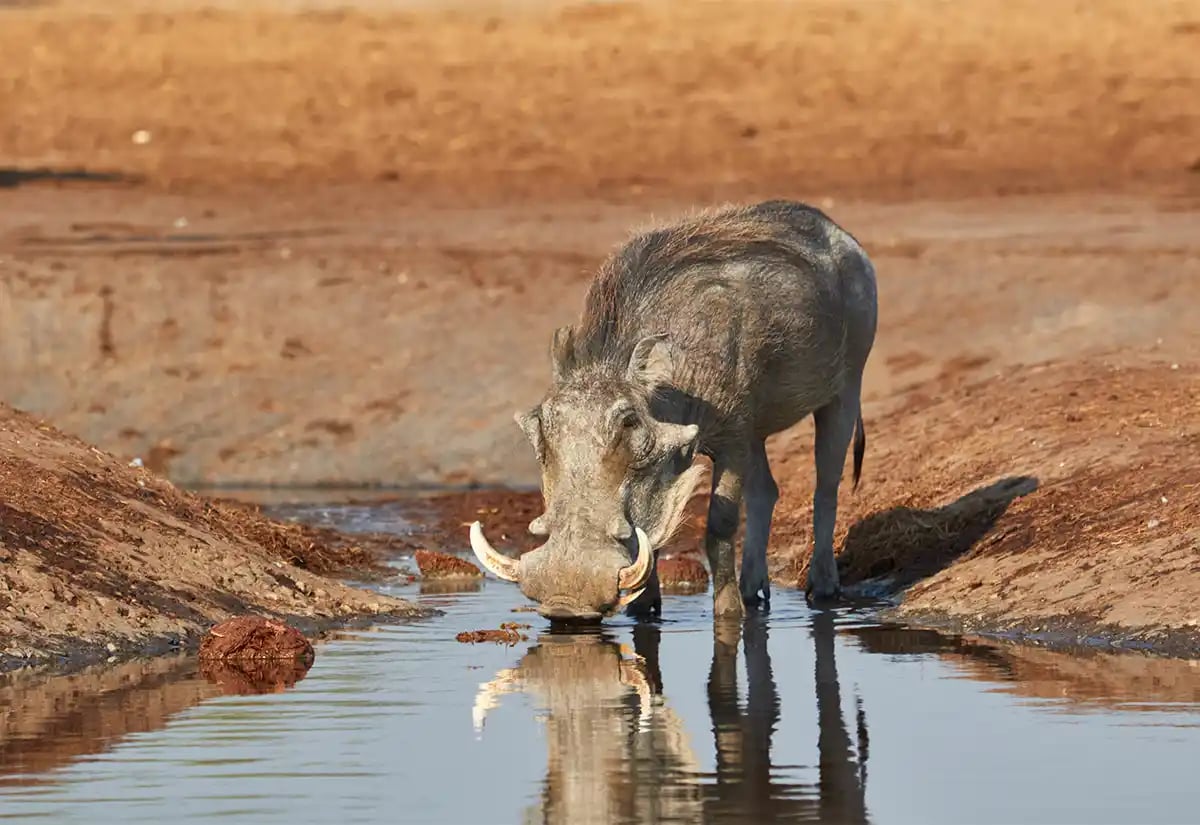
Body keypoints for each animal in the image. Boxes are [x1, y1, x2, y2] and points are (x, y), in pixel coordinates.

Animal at [470, 199, 877, 621]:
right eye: (539, 424)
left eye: (629, 421)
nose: (566, 603)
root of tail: (839, 232)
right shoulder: (724, 441)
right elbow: (651, 538)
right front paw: (645, 611)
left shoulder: (733, 435)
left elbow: (719, 527)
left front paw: (729, 616)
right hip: (758, 431)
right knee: (766, 491)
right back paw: (753, 591)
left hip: (846, 388)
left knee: (826, 486)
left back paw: (822, 589)